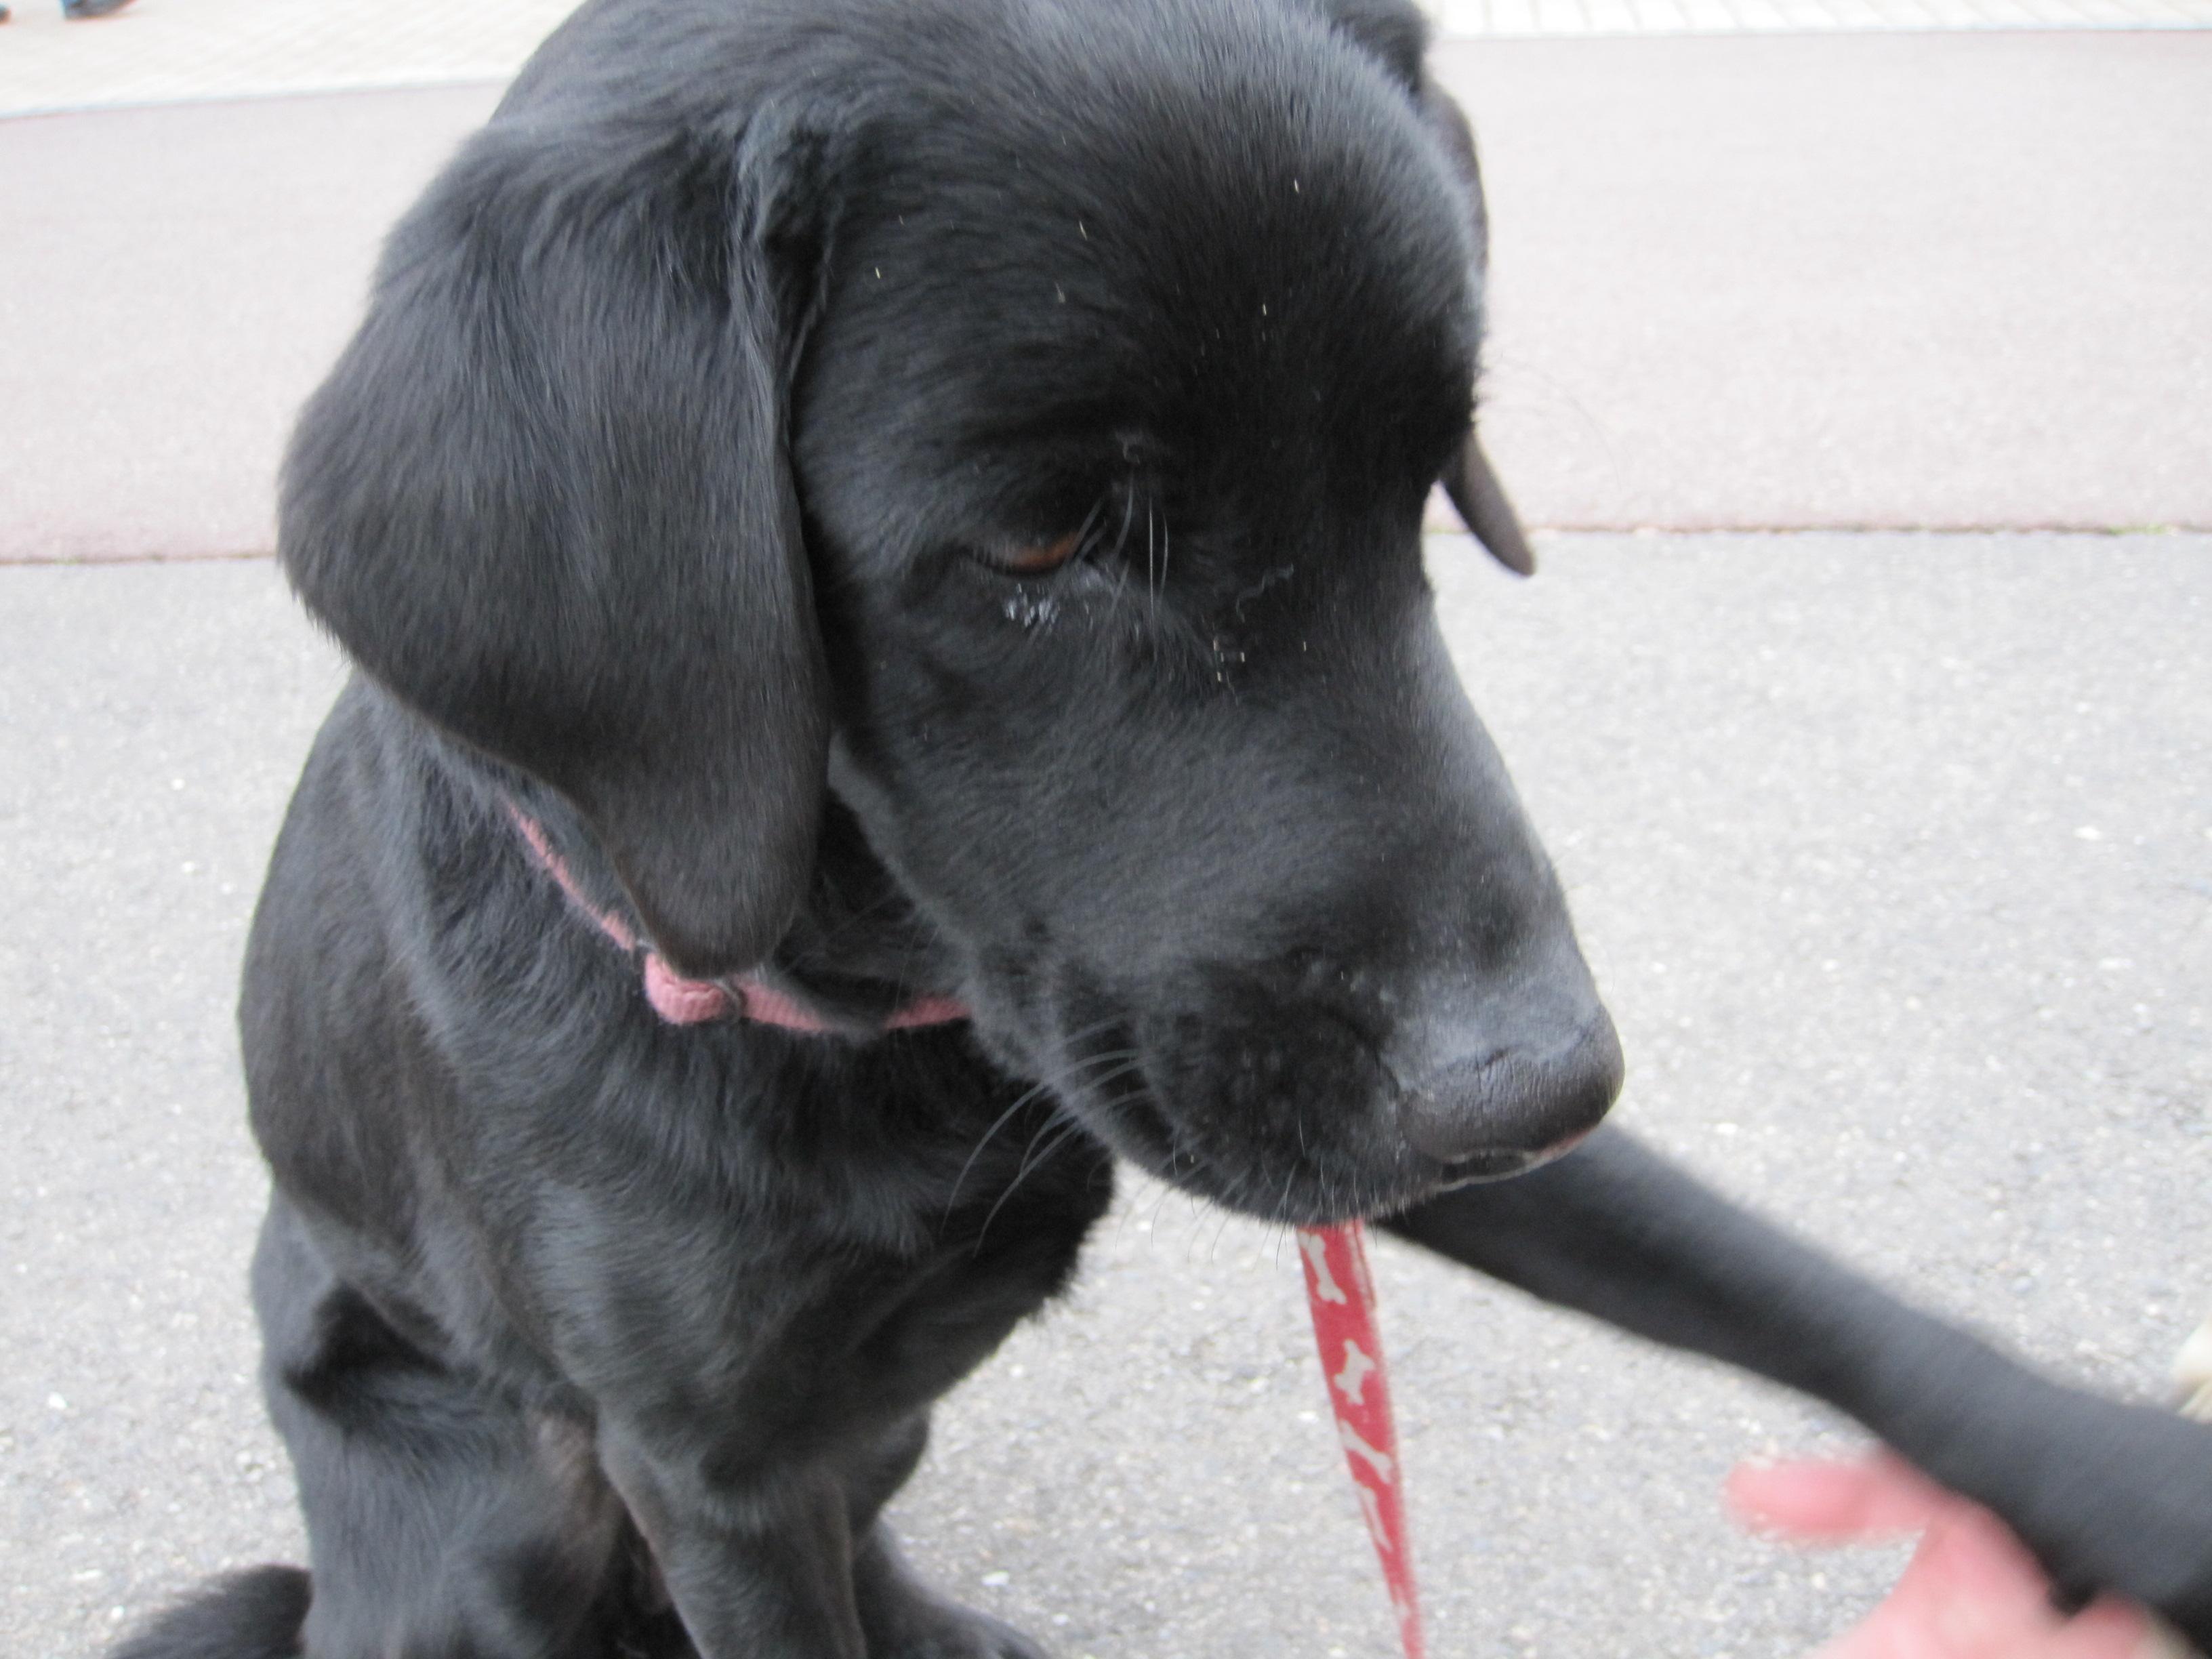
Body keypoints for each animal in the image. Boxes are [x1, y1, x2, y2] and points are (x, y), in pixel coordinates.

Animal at [117, 3, 2212, 1659]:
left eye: (1422, 474)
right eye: (1045, 541)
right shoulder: (713, 1468)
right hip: (509, 1510)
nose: (1542, 1080)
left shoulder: (1335, 1099)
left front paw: (2129, 1484)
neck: (891, 1023)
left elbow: (1757, 1268)